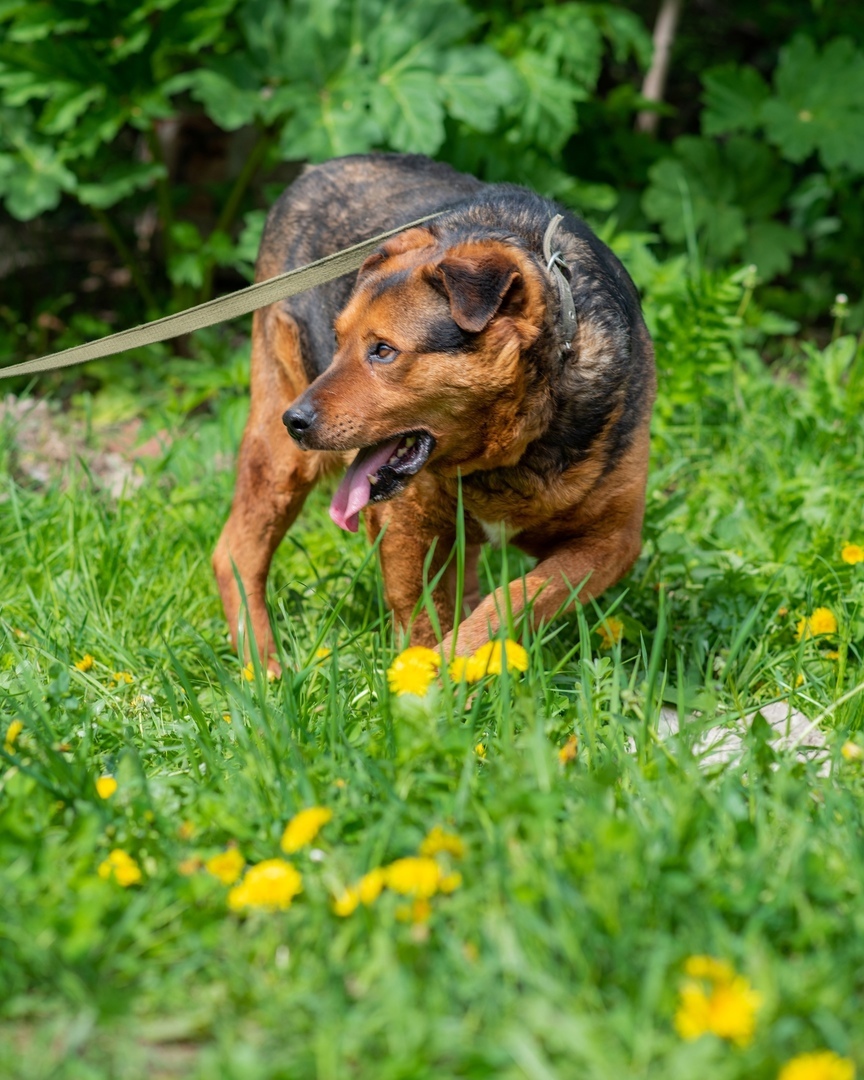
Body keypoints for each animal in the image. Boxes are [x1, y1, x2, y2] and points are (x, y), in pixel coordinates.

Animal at [213, 152, 656, 665]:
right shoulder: (406, 528)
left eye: (383, 351)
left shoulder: (612, 541)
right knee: (235, 552)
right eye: (338, 341)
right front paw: (428, 679)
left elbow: (513, 597)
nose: (295, 421)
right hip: (281, 458)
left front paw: (457, 664)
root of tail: (317, 170)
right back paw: (263, 669)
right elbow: (425, 620)